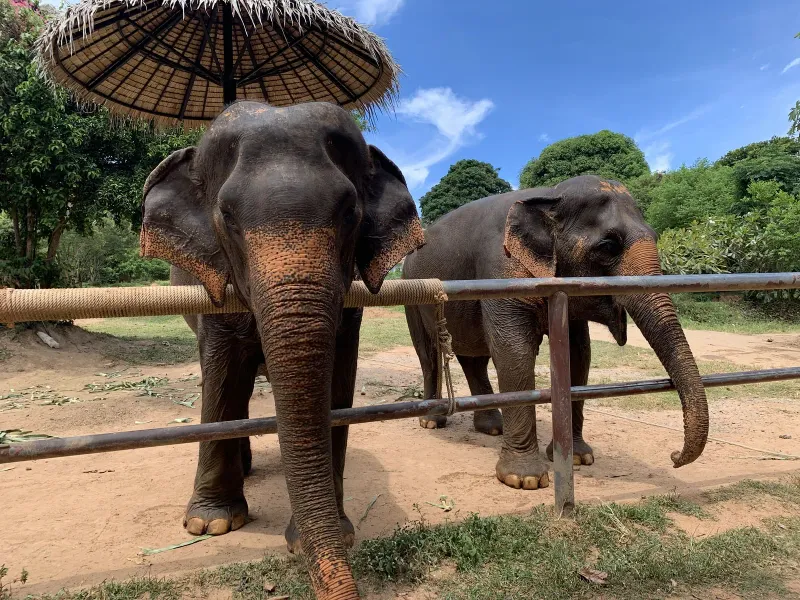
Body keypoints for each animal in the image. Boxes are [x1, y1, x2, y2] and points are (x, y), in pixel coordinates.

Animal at [140, 100, 425, 600]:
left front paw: (339, 532)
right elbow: (222, 376)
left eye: (349, 212)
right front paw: (210, 525)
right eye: (227, 216)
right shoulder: (214, 285)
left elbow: (336, 387)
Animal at [403, 175, 708, 490]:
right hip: (411, 292)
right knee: (429, 355)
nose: (673, 456)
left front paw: (579, 458)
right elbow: (514, 352)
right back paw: (432, 421)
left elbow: (578, 354)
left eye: (656, 237)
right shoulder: (501, 269)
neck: (551, 196)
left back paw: (493, 428)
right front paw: (524, 479)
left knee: (473, 357)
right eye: (608, 245)